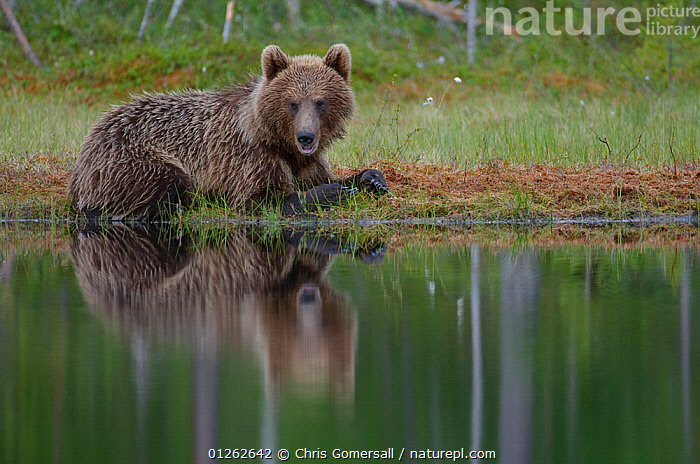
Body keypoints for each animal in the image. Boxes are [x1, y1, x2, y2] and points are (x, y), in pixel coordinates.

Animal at [68, 44, 388, 220]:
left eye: (321, 102)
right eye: (292, 103)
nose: (306, 137)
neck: (278, 141)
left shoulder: (305, 161)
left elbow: (321, 175)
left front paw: (370, 179)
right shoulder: (246, 158)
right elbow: (264, 200)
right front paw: (332, 192)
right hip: (130, 158)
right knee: (166, 182)